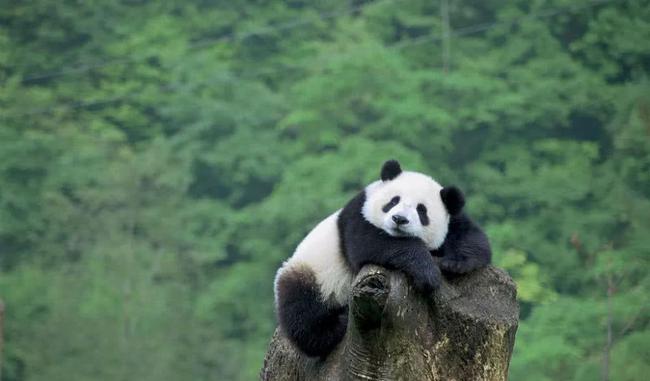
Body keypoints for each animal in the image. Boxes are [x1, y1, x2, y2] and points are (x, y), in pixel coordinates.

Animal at [270, 159, 488, 358]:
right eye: (393, 201)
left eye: (421, 210)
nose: (399, 219)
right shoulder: (358, 212)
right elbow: (370, 243)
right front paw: (428, 273)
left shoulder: (453, 220)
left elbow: (469, 235)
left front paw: (456, 263)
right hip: (311, 273)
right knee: (303, 314)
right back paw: (338, 323)